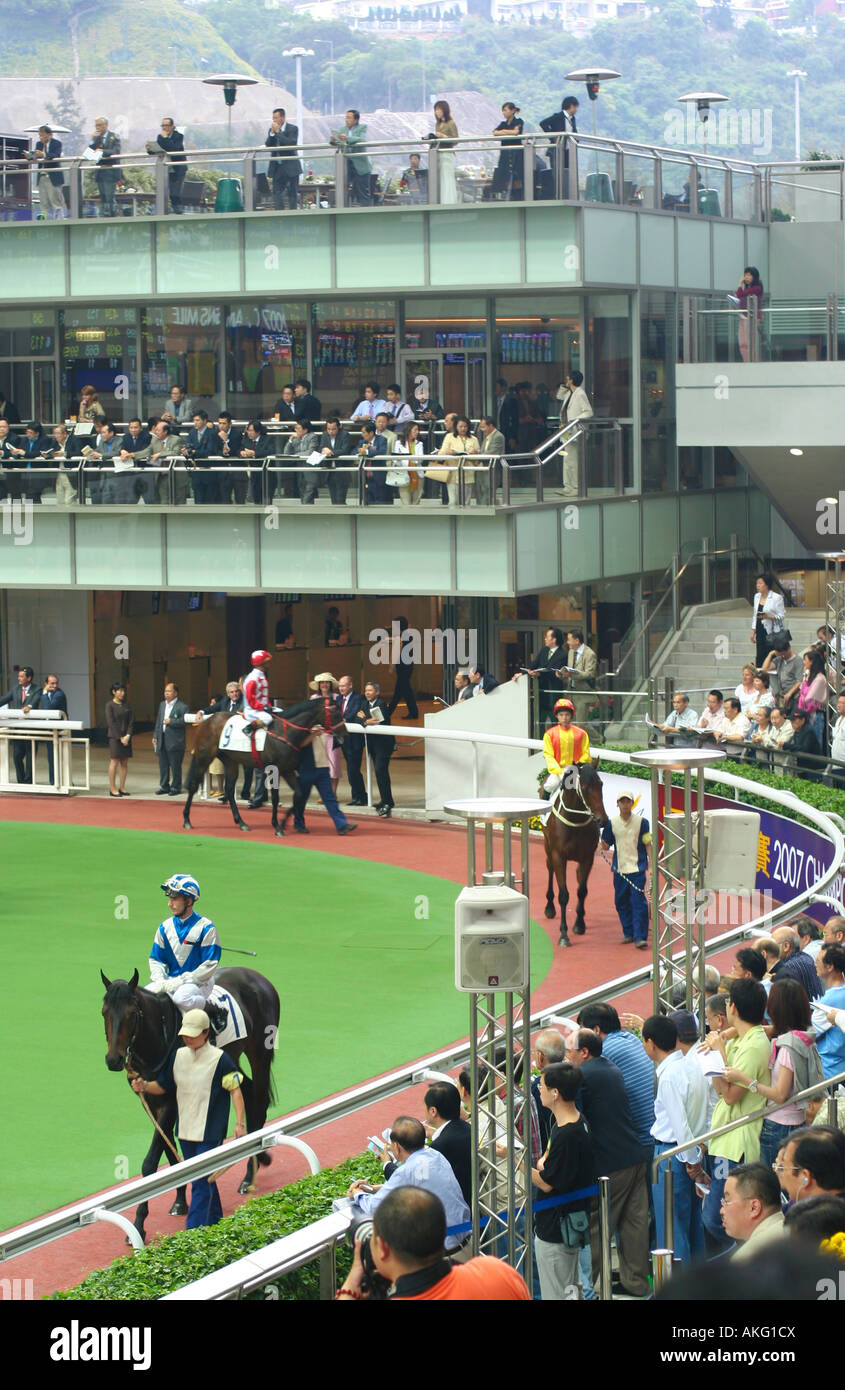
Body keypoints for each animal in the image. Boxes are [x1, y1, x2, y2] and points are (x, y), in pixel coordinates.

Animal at [101, 967, 280, 1239]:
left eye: (132, 1013)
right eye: (105, 1012)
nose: (114, 1059)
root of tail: (257, 976)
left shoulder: (172, 1099)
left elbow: (150, 1162)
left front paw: (139, 1224)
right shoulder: (150, 1100)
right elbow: (170, 1152)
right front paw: (179, 1201)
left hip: (260, 1051)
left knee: (258, 1101)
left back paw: (250, 1175)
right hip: (230, 1057)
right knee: (248, 1093)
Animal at [182, 695, 346, 834]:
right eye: (336, 714)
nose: (344, 735)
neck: (285, 732)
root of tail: (206, 721)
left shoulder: (287, 770)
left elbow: (299, 794)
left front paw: (284, 821)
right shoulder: (275, 770)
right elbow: (275, 798)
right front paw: (277, 826)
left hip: (230, 760)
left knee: (228, 789)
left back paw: (241, 822)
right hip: (204, 757)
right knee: (194, 785)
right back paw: (187, 820)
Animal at [547, 761, 605, 945]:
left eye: (601, 784)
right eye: (585, 788)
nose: (603, 820)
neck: (575, 821)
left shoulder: (587, 858)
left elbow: (582, 891)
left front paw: (579, 924)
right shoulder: (559, 856)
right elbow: (564, 895)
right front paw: (564, 934)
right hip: (548, 848)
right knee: (549, 869)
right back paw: (549, 907)